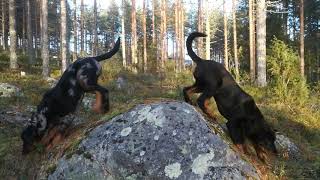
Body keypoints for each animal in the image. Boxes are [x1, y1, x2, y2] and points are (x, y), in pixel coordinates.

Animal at [184, 32, 276, 162]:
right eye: (269, 140)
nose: (276, 152)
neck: (251, 115)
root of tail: (202, 61)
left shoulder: (244, 129)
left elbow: (250, 142)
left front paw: (257, 154)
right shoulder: (233, 123)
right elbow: (239, 140)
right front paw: (243, 150)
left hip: (200, 85)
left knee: (187, 90)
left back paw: (188, 101)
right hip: (212, 86)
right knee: (201, 100)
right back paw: (210, 114)